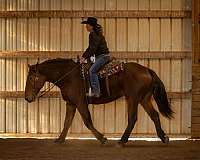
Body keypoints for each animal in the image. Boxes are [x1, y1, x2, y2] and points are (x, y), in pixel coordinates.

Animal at [24, 58, 173, 146]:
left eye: (31, 78)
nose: (27, 98)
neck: (68, 76)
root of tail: (147, 70)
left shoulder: (80, 102)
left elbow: (87, 121)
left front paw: (102, 138)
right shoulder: (71, 103)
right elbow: (67, 122)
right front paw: (60, 139)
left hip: (133, 98)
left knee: (132, 118)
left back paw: (122, 140)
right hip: (144, 99)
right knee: (154, 115)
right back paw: (163, 137)